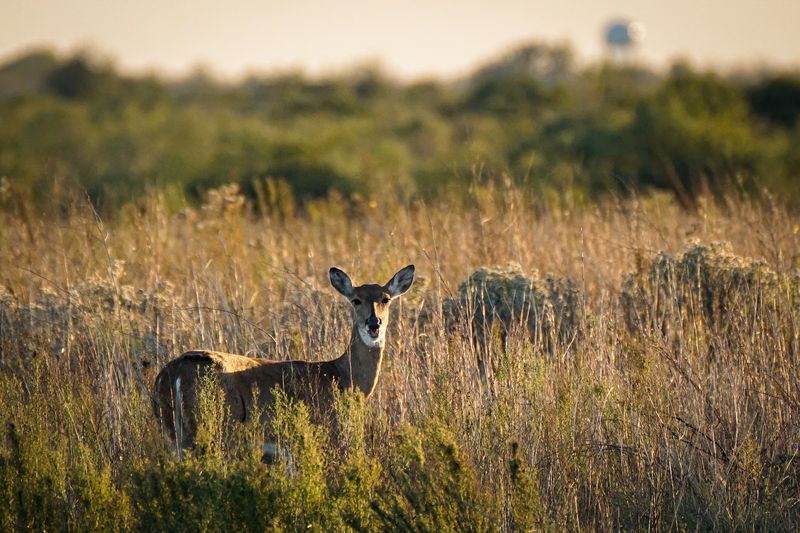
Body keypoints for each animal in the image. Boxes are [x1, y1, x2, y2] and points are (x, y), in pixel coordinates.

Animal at [152, 264, 415, 460]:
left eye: (386, 299)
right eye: (356, 300)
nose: (373, 323)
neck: (344, 379)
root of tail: (171, 374)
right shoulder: (329, 431)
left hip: (173, 433)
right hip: (212, 427)